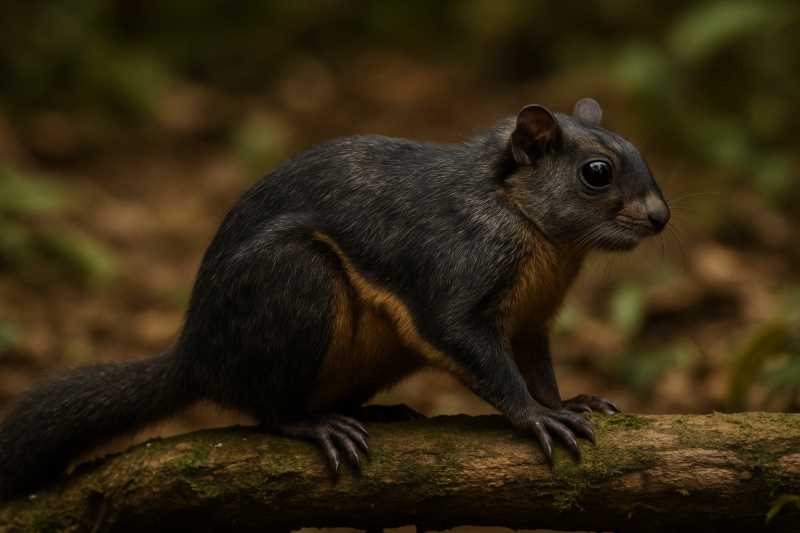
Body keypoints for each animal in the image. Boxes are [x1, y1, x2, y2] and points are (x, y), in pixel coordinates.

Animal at [0, 98, 669, 499]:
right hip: (294, 283)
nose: (661, 217)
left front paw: (570, 400)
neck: (542, 239)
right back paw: (315, 424)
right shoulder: (459, 264)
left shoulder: (532, 319)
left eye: (638, 149)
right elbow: (474, 348)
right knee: (264, 409)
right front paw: (536, 417)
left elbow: (536, 365)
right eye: (596, 172)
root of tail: (196, 355)